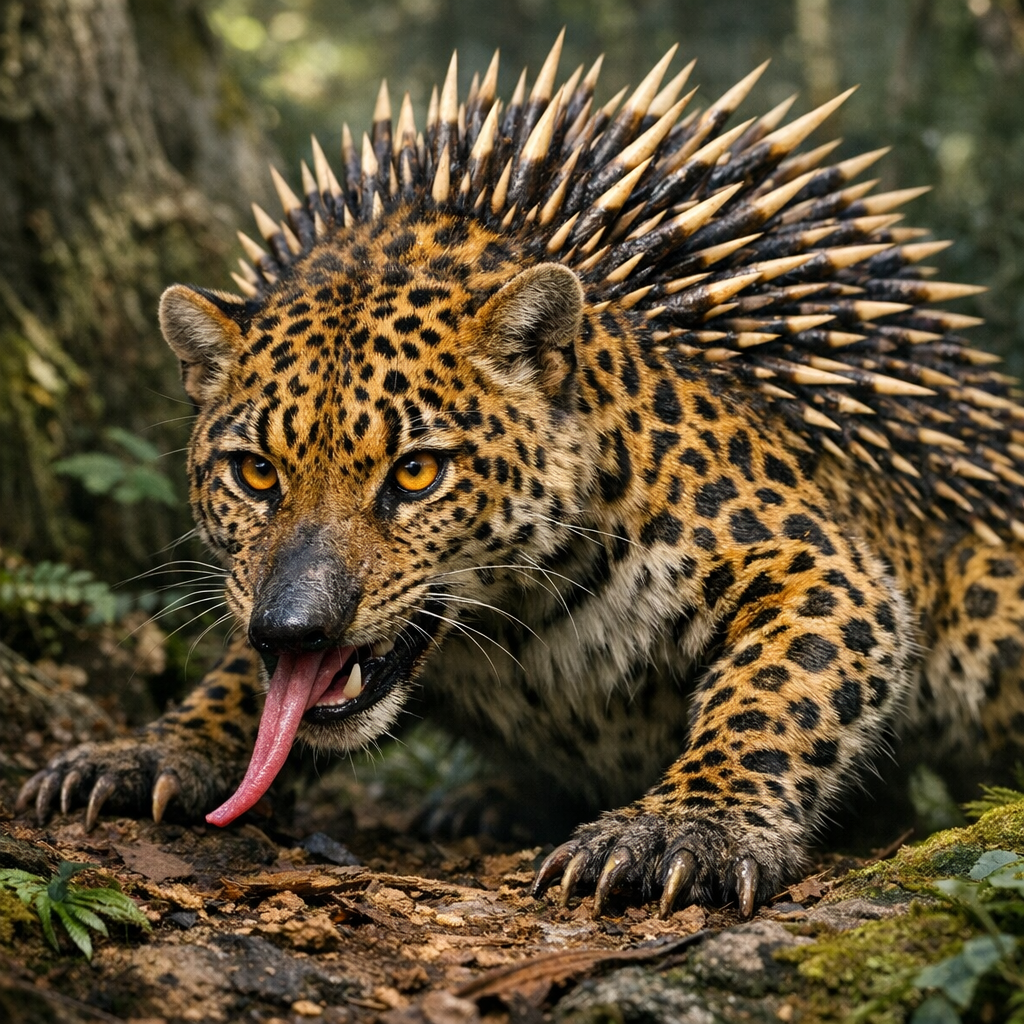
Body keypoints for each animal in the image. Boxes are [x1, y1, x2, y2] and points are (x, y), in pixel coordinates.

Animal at [21, 36, 1024, 918]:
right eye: (257, 474)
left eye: (416, 472)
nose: (296, 626)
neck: (513, 629)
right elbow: (244, 682)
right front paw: (152, 753)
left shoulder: (816, 564)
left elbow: (776, 693)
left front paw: (682, 831)